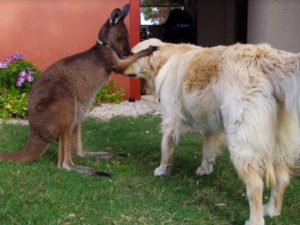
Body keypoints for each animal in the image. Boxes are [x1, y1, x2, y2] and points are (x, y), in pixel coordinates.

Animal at [122, 38, 300, 225]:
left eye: (131, 54)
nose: (120, 68)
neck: (167, 57)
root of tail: (265, 57)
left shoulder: (171, 119)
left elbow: (166, 150)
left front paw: (162, 170)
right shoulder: (210, 125)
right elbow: (207, 149)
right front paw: (205, 169)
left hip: (241, 142)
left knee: (256, 185)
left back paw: (255, 220)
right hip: (281, 143)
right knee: (282, 179)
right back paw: (272, 210)